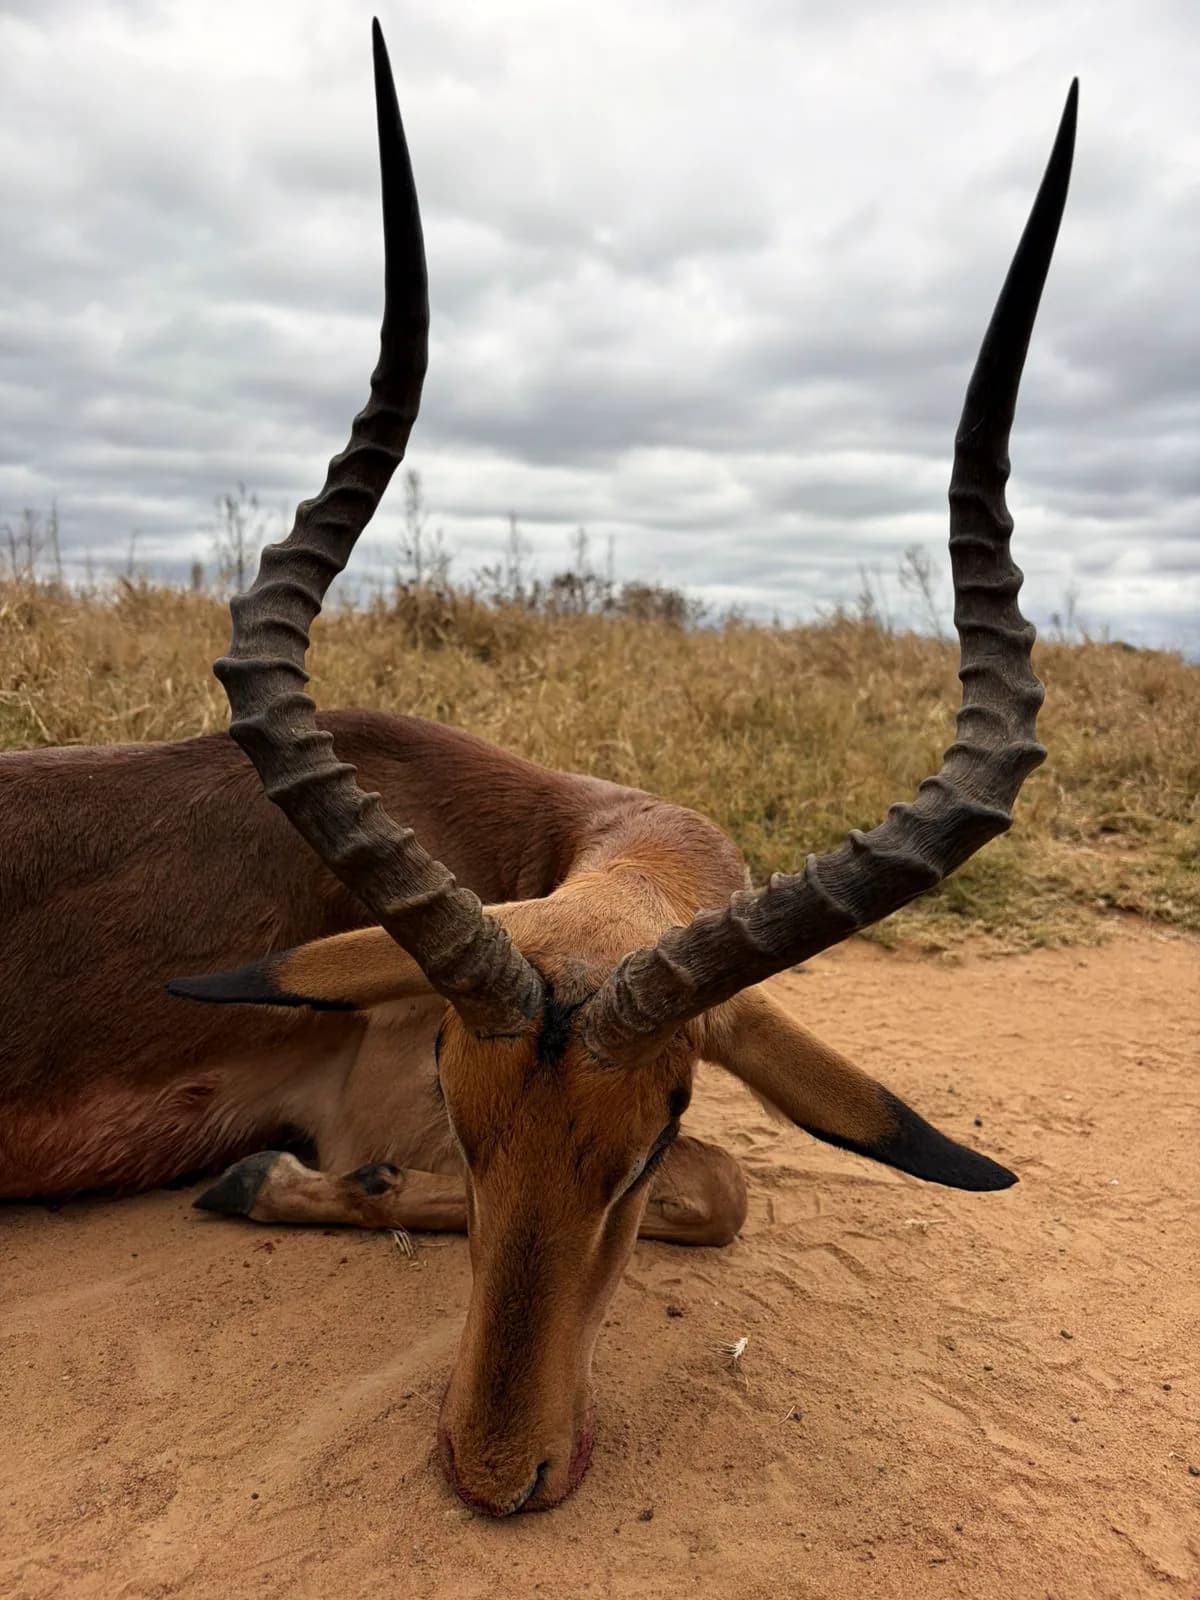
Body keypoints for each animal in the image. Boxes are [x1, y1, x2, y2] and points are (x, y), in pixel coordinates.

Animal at [0, 22, 1076, 1517]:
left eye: (653, 1123)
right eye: (462, 1109)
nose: (500, 1472)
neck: (546, 828)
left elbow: (726, 1184)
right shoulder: (380, 1103)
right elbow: (725, 1188)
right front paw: (255, 1183)